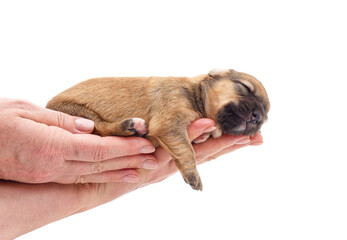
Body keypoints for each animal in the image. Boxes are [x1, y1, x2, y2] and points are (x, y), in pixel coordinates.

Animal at [46, 68, 270, 190]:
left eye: (265, 118)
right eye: (245, 88)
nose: (257, 117)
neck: (195, 94)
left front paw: (202, 136)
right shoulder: (169, 121)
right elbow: (185, 149)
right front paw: (193, 175)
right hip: (78, 111)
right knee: (101, 127)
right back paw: (131, 126)